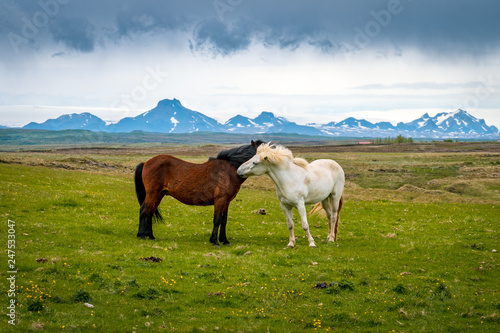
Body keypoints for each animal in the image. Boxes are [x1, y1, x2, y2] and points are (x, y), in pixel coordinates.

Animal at [133, 139, 266, 245]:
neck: (229, 171)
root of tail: (145, 163)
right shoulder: (220, 200)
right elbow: (217, 219)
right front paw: (214, 241)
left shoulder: (226, 202)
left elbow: (224, 220)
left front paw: (225, 240)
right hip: (153, 193)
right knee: (144, 210)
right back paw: (142, 235)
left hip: (159, 195)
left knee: (150, 212)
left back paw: (150, 236)